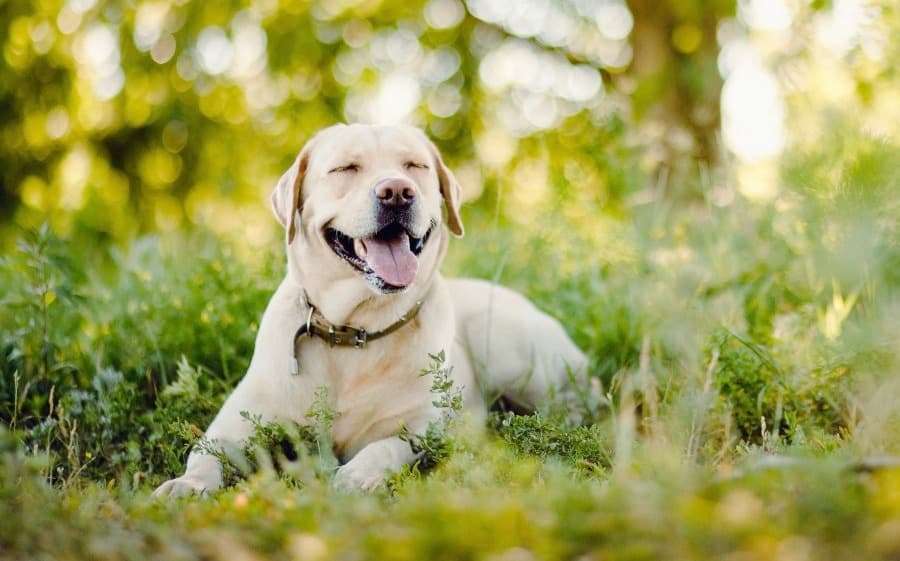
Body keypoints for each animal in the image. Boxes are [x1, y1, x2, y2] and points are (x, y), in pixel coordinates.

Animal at [155, 123, 592, 494]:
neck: (353, 331)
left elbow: (384, 446)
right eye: (346, 168)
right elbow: (205, 454)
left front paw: (357, 475)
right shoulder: (234, 424)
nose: (397, 191)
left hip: (508, 347)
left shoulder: (419, 427)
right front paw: (186, 485)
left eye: (414, 166)